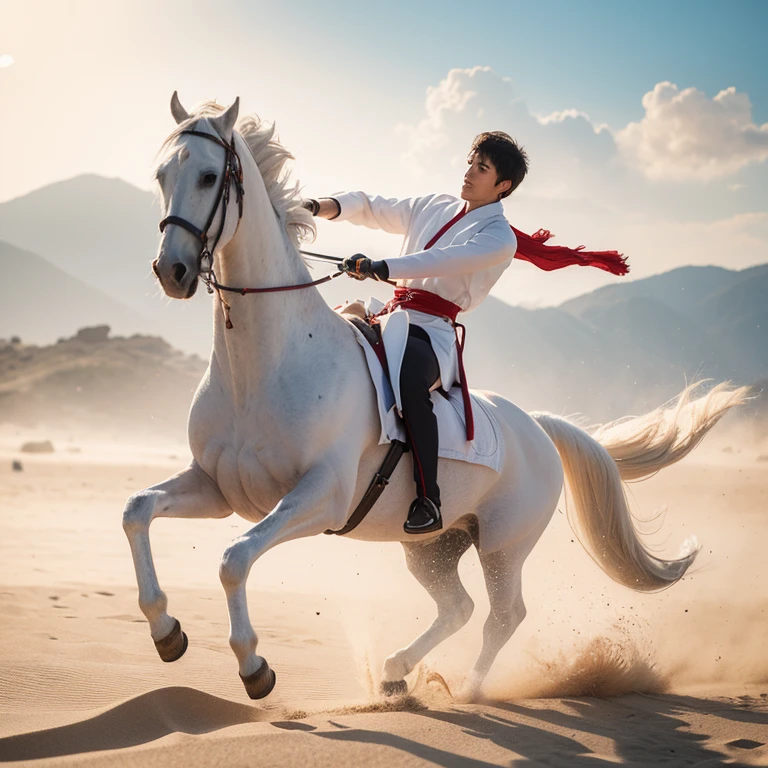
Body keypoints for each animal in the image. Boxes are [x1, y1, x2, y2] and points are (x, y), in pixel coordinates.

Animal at [124, 94, 752, 704]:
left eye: (210, 176)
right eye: (161, 174)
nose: (171, 270)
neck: (270, 366)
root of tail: (538, 426)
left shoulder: (318, 498)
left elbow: (233, 560)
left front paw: (254, 666)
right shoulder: (218, 487)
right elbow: (138, 511)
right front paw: (166, 632)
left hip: (503, 546)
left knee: (503, 614)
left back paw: (471, 690)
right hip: (433, 545)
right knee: (459, 607)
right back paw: (396, 673)